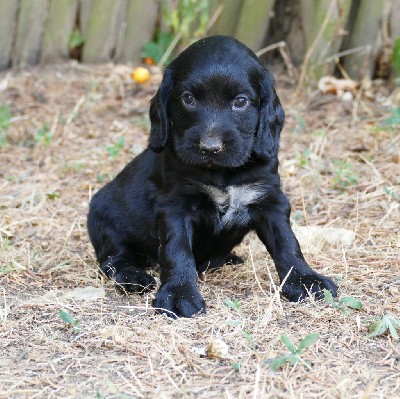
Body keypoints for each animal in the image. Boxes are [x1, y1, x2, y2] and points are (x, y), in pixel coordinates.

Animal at [88, 36, 338, 318]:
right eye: (188, 98)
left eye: (240, 101)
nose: (210, 147)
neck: (223, 173)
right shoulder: (175, 204)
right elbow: (177, 250)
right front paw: (179, 293)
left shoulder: (268, 198)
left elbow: (287, 243)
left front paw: (306, 280)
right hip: (106, 220)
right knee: (115, 259)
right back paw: (134, 276)